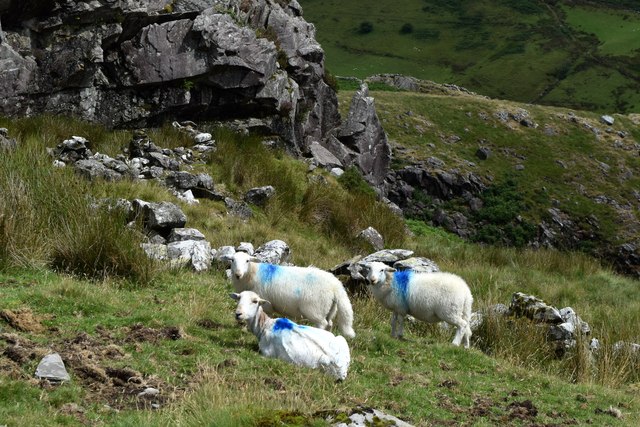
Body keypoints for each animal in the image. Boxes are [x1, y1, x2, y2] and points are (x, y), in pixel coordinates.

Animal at [224, 252, 356, 340]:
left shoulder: (265, 303)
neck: (252, 273)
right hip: (329, 309)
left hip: (315, 310)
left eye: (247, 261)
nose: (238, 274)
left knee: (322, 324)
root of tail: (336, 285)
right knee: (329, 323)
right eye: (232, 260)